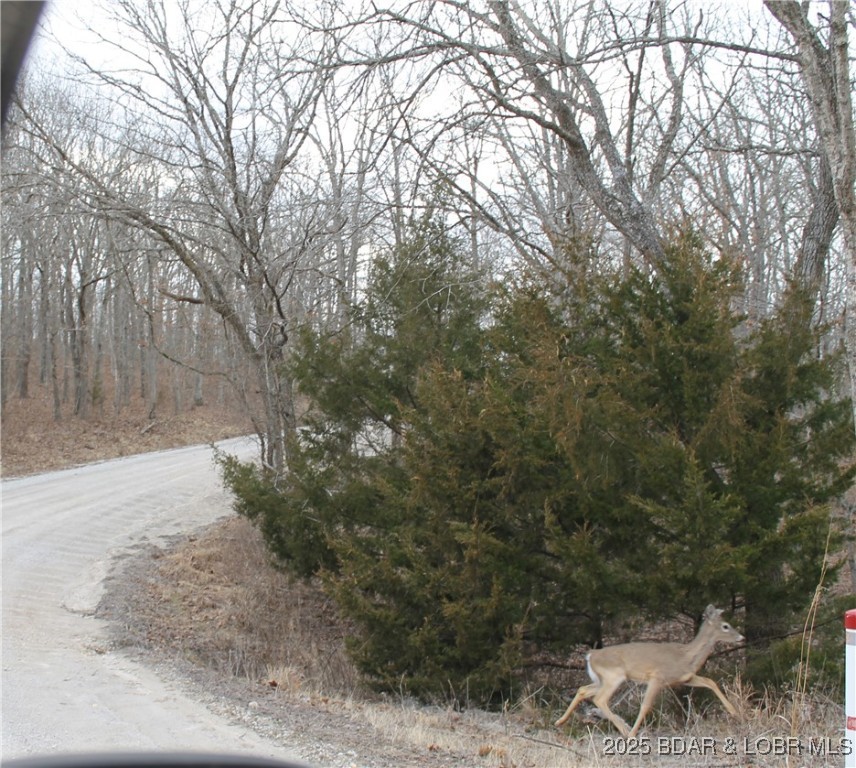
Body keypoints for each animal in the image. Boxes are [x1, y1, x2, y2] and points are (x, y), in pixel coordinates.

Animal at [555, 605, 743, 738]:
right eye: (726, 626)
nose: (741, 637)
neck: (686, 656)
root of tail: (591, 655)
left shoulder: (684, 678)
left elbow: (710, 682)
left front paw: (734, 712)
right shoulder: (657, 677)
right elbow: (646, 705)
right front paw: (633, 733)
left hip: (601, 679)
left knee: (583, 690)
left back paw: (559, 722)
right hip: (614, 676)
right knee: (599, 699)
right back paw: (626, 730)